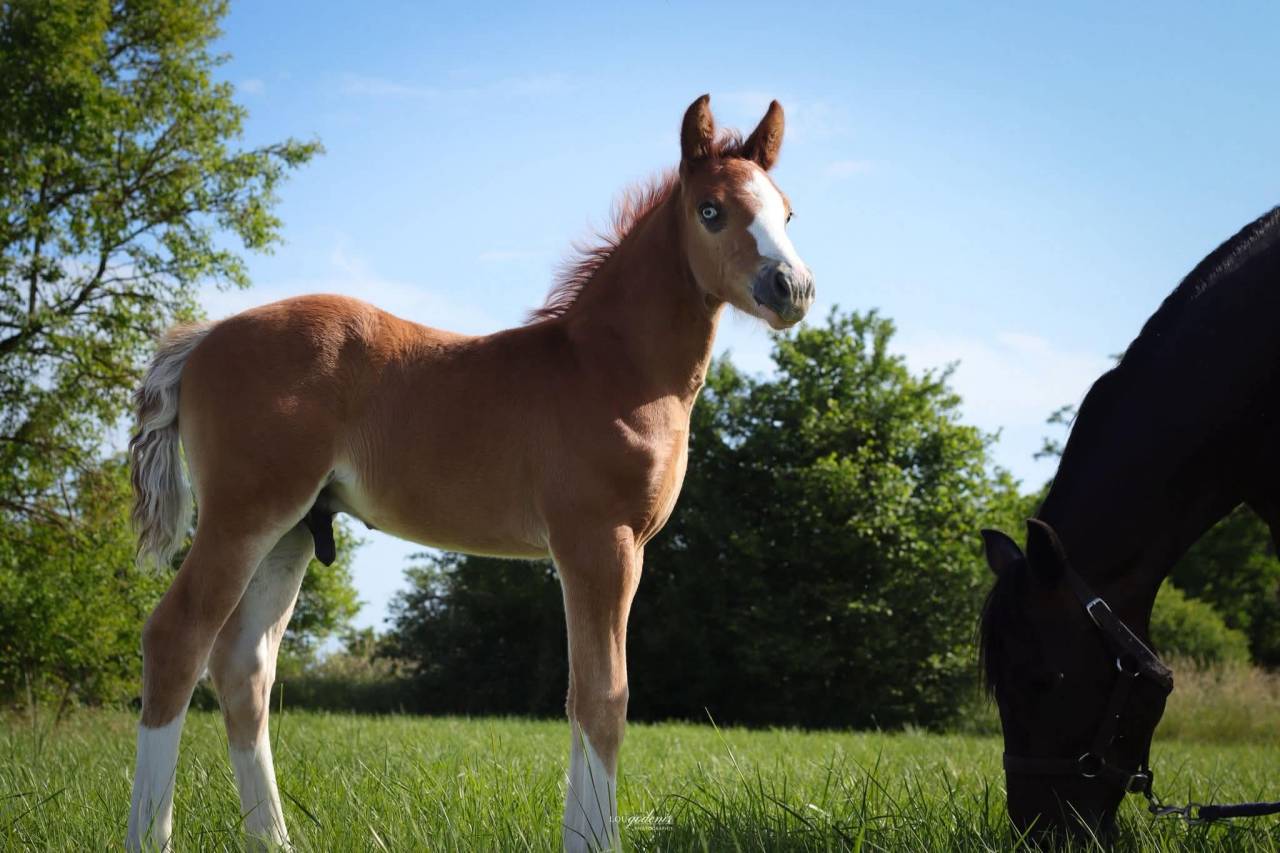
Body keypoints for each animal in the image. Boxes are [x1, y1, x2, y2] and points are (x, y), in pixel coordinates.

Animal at [123, 94, 815, 851]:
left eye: (786, 213)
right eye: (711, 210)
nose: (791, 287)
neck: (611, 369)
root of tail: (203, 338)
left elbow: (580, 693)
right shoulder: (601, 544)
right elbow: (604, 696)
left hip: (294, 529)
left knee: (244, 667)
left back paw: (275, 839)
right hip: (244, 514)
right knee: (177, 639)